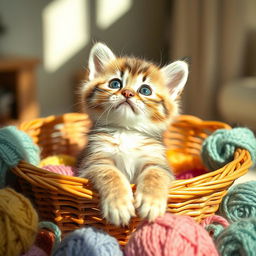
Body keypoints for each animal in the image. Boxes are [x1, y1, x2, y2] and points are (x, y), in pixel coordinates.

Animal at [79, 43, 189, 227]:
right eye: (115, 83)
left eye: (145, 90)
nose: (128, 93)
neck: (127, 130)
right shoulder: (94, 161)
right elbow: (110, 174)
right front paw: (119, 205)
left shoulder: (158, 162)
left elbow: (155, 174)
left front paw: (151, 203)